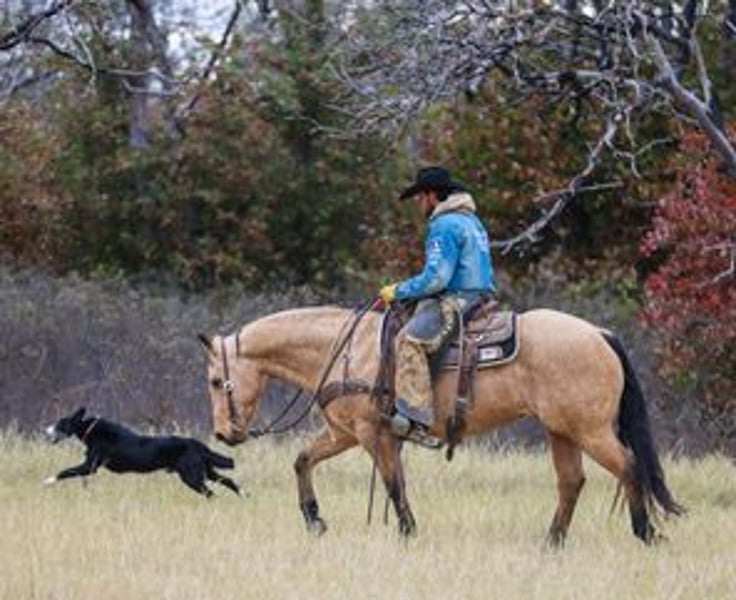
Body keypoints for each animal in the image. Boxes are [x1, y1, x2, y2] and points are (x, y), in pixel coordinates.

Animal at [43, 407, 242, 498]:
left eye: (60, 424)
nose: (45, 431)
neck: (90, 429)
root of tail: (198, 444)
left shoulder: (89, 467)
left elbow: (65, 471)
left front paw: (47, 481)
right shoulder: (88, 468)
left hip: (191, 476)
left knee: (211, 492)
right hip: (205, 471)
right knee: (228, 481)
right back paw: (243, 495)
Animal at [198, 303, 683, 545]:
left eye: (216, 380)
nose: (224, 434)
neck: (346, 348)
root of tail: (600, 334)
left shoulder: (372, 435)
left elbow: (394, 484)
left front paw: (408, 533)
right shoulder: (344, 434)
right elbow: (302, 460)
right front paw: (314, 519)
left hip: (591, 430)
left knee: (629, 465)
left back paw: (646, 533)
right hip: (561, 431)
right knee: (571, 481)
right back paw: (552, 541)